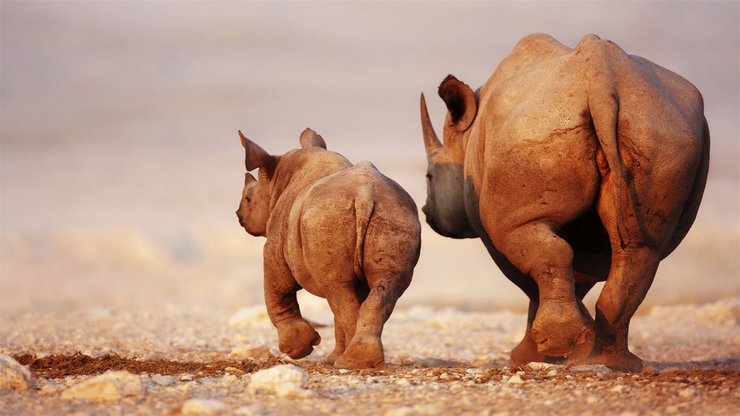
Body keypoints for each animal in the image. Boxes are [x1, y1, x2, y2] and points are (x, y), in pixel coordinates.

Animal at [237, 127, 422, 368]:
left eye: (248, 199)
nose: (238, 215)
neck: (278, 180)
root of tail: (365, 194)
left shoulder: (275, 243)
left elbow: (278, 289)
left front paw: (299, 349)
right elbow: (337, 314)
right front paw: (331, 358)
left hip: (326, 218)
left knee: (337, 289)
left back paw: (350, 362)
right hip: (396, 213)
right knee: (380, 286)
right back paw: (358, 361)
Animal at [420, 33, 708, 370]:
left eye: (429, 177)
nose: (427, 213)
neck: (466, 140)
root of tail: (602, 79)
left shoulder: (494, 223)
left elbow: (528, 279)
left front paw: (533, 355)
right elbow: (577, 274)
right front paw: (575, 345)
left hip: (537, 127)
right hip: (660, 129)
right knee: (641, 250)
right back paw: (614, 362)